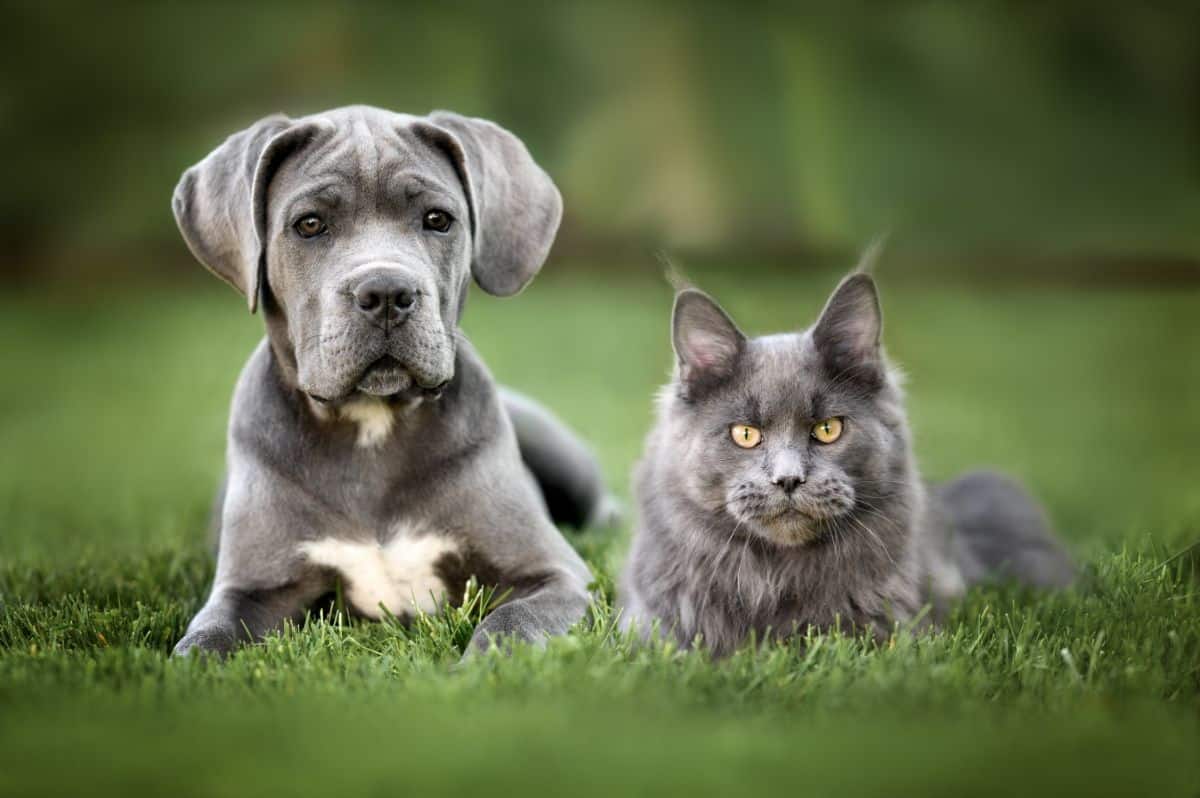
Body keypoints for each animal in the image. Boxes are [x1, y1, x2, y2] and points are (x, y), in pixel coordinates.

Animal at [172, 104, 614, 652]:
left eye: (437, 219)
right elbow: (203, 643)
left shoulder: (557, 575)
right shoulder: (247, 591)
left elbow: (511, 625)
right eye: (309, 224)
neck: (372, 425)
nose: (385, 292)